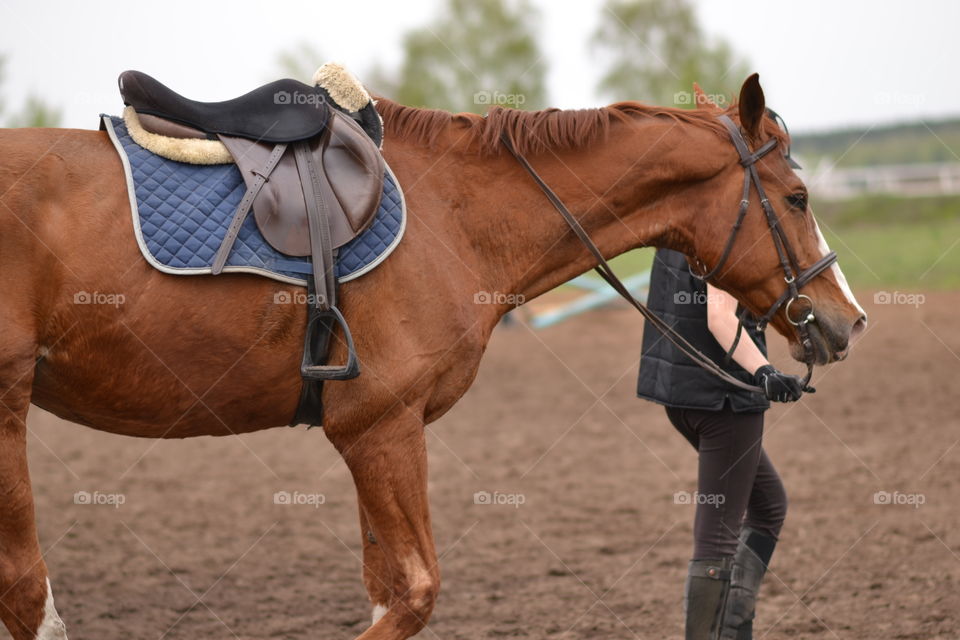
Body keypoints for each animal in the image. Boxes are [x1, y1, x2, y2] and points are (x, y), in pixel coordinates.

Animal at [0, 74, 865, 640]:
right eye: (797, 198)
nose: (847, 319)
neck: (455, 214)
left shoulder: (368, 435)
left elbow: (387, 590)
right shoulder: (382, 427)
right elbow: (414, 594)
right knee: (26, 592)